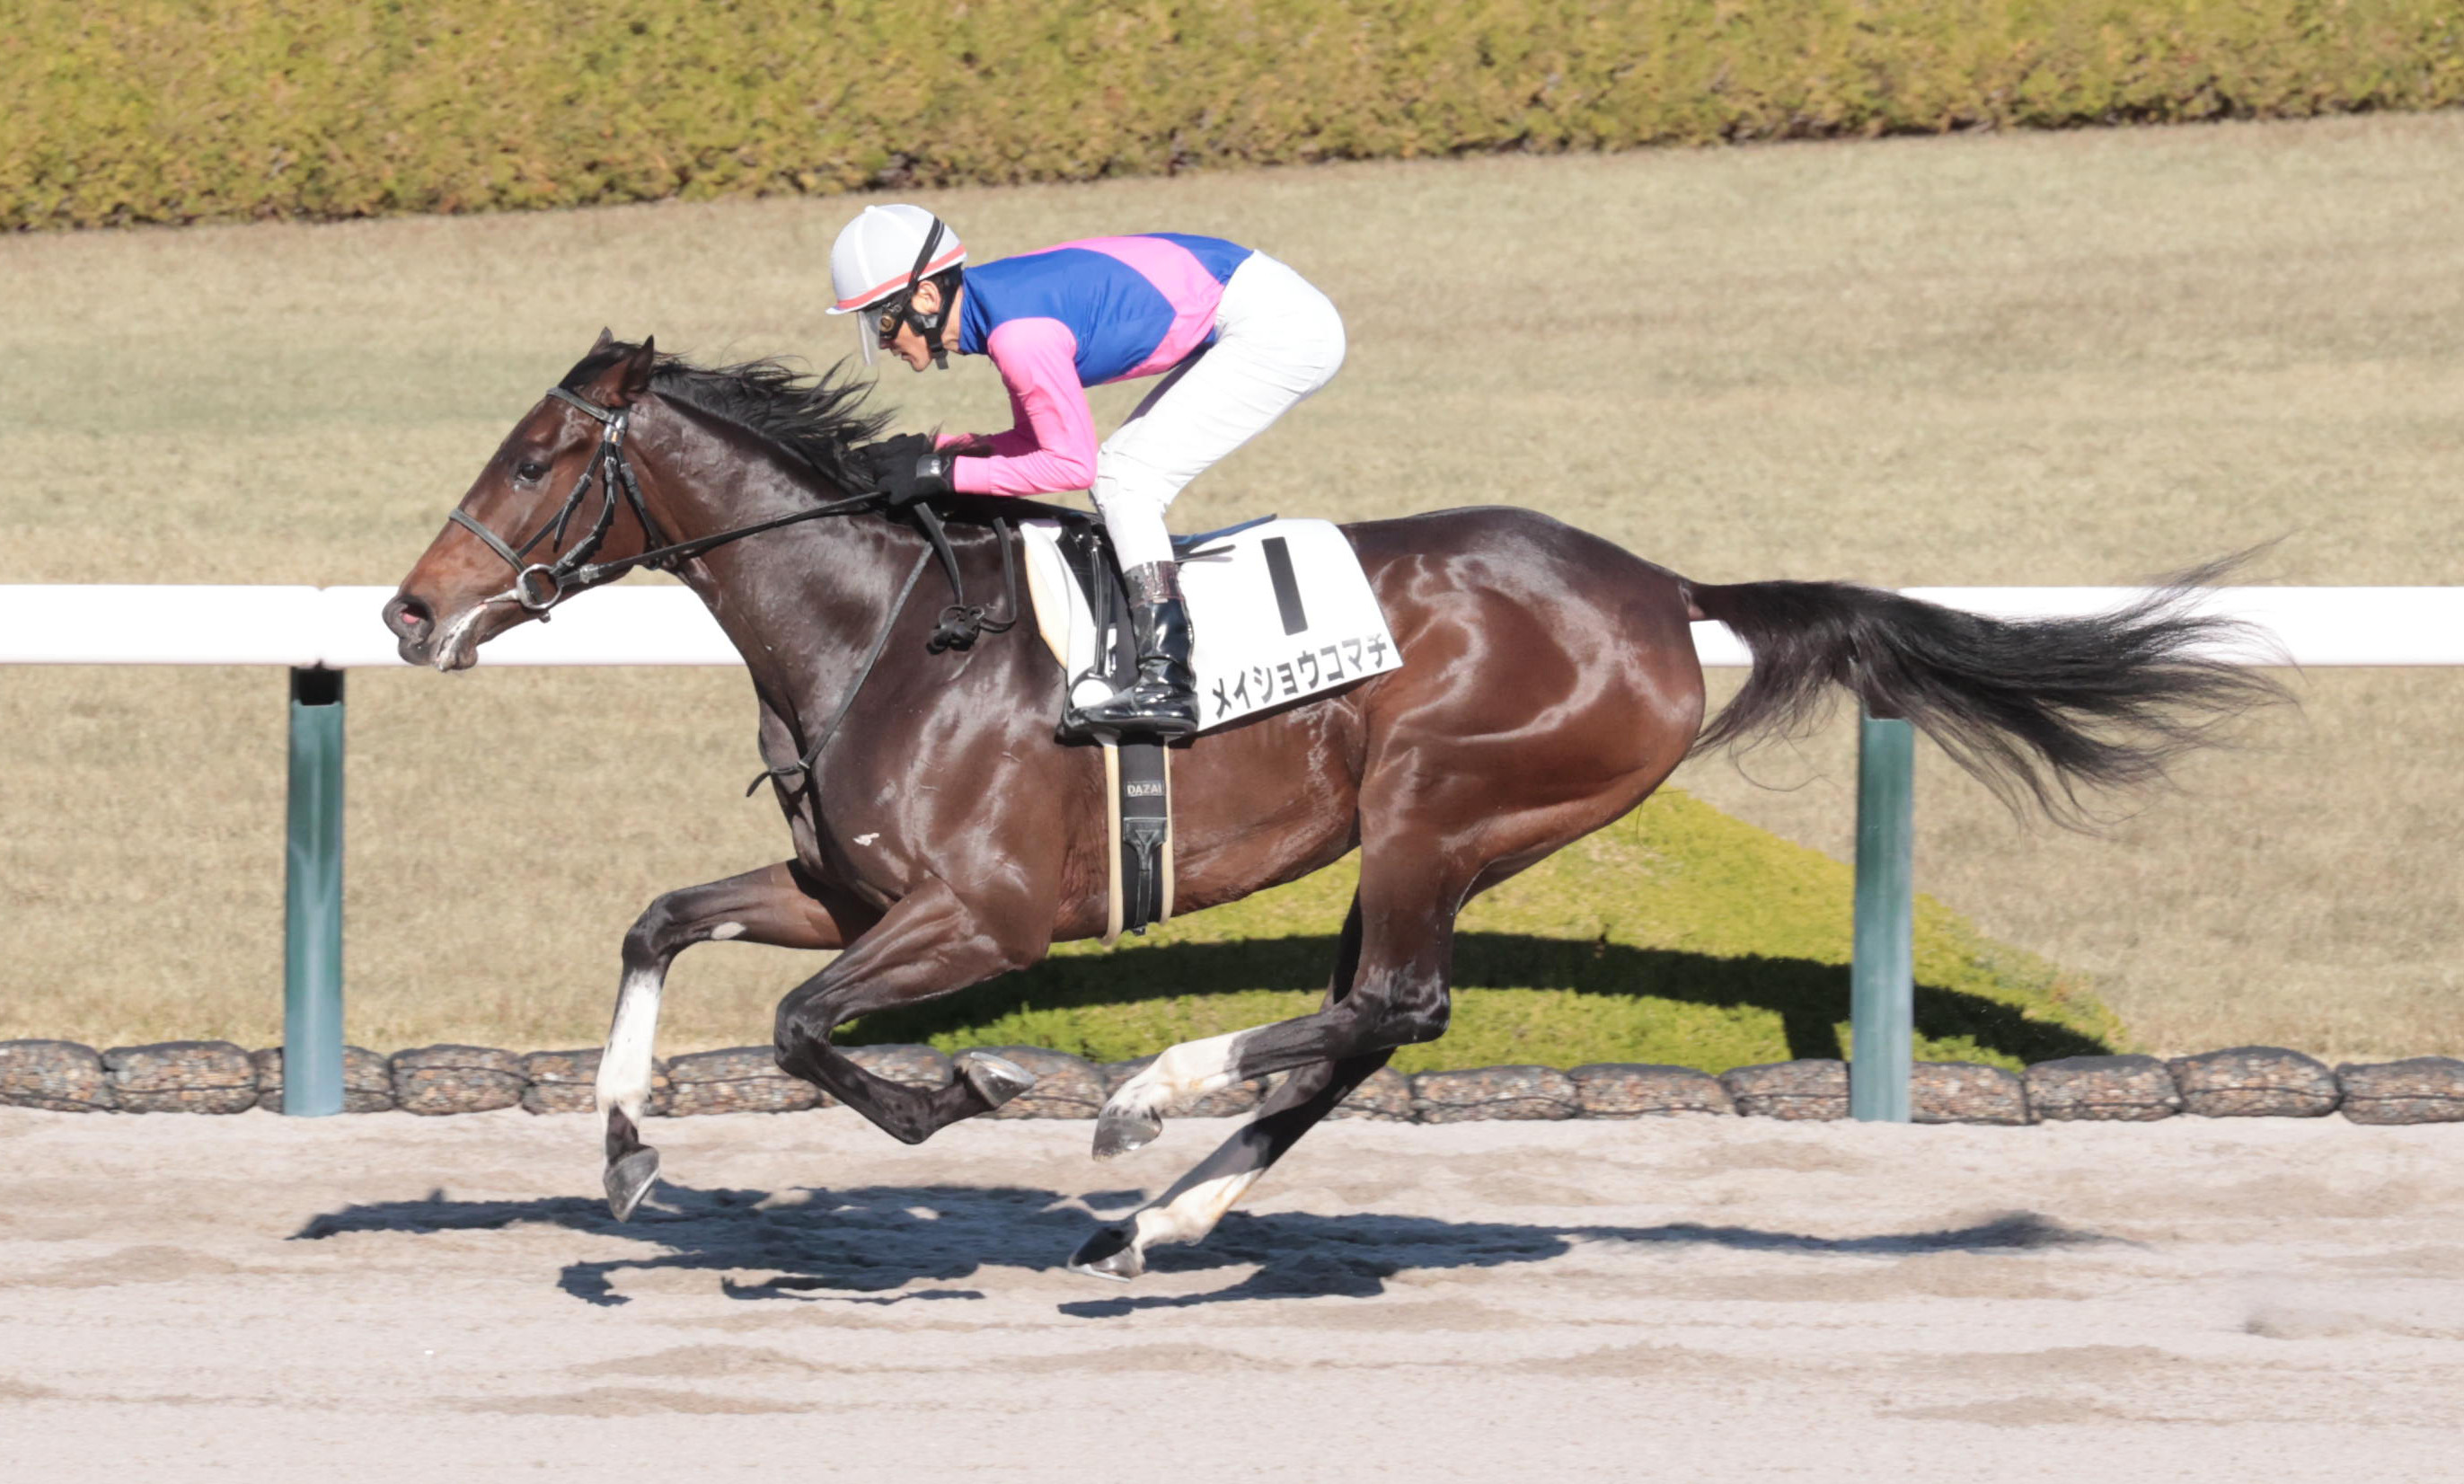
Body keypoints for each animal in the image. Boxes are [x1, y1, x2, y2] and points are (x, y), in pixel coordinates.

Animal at [384, 333, 2277, 1281]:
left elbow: (796, 1028)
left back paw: (1141, 1109)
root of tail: (1664, 591)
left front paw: (966, 1090)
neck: (875, 629)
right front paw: (625, 1150)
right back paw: (1163, 1208)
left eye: (534, 460)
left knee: (1393, 1002)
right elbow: (661, 923)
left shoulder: (976, 918)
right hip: (1441, 834)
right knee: (1371, 1018)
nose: (408, 612)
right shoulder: (851, 896)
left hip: (1440, 795)